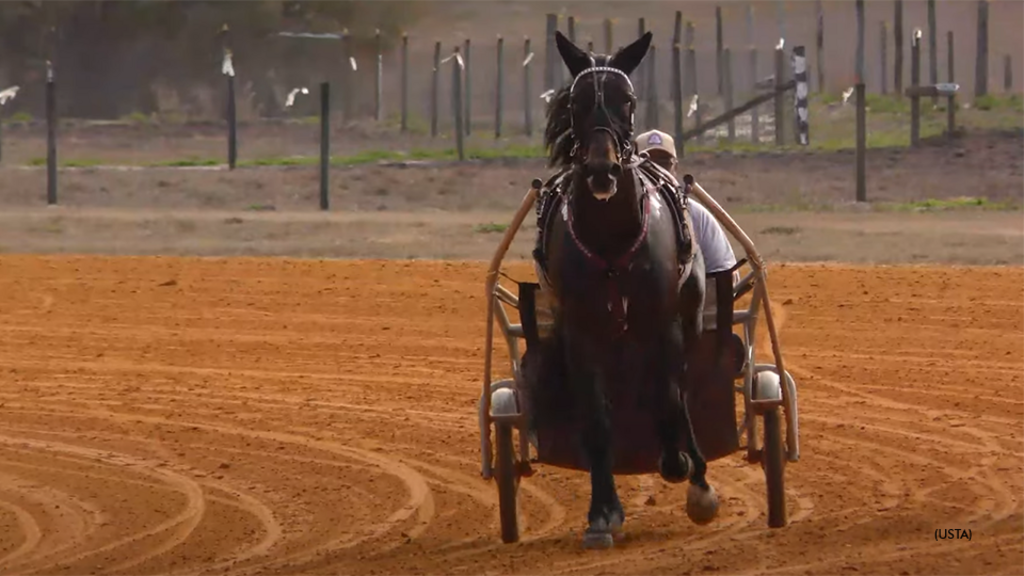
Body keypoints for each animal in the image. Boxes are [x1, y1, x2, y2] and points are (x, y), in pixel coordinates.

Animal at [532, 31, 716, 545]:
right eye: (575, 102)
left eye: (628, 100)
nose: (602, 171)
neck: (611, 241)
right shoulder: (581, 332)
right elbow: (597, 420)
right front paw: (602, 513)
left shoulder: (663, 320)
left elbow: (670, 394)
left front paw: (681, 466)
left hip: (688, 317)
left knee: (678, 387)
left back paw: (693, 471)